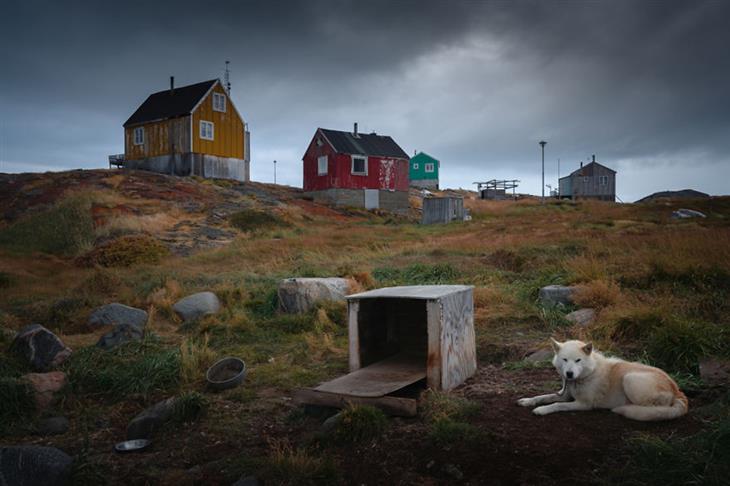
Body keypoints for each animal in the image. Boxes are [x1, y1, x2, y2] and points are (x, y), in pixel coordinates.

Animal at [516, 338, 684, 422]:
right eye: (565, 360)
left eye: (577, 360)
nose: (569, 374)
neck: (587, 374)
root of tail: (678, 390)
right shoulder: (564, 395)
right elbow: (543, 396)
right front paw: (528, 401)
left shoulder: (583, 405)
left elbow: (557, 405)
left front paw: (541, 410)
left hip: (629, 378)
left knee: (652, 408)